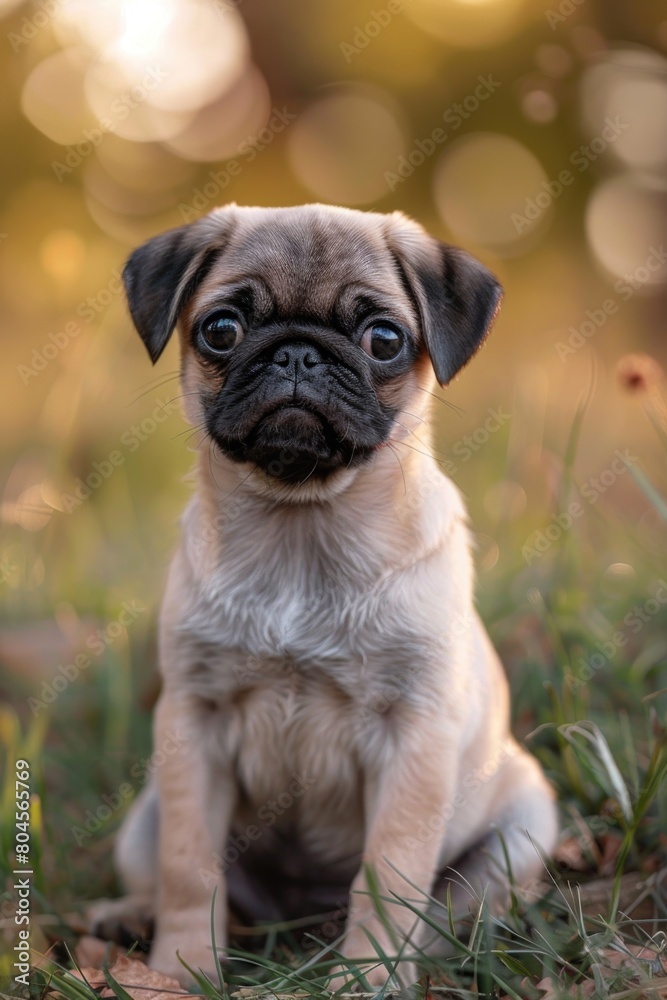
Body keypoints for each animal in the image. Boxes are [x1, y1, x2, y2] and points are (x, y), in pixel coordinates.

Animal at [90, 205, 560, 992]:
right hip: (144, 816)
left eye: (384, 340)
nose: (297, 355)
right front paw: (183, 971)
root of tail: (302, 921)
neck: (301, 527)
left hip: (524, 824)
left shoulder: (413, 739)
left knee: (456, 911)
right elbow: (189, 868)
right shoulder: (194, 725)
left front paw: (369, 979)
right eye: (221, 330)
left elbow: (389, 876)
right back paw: (127, 920)